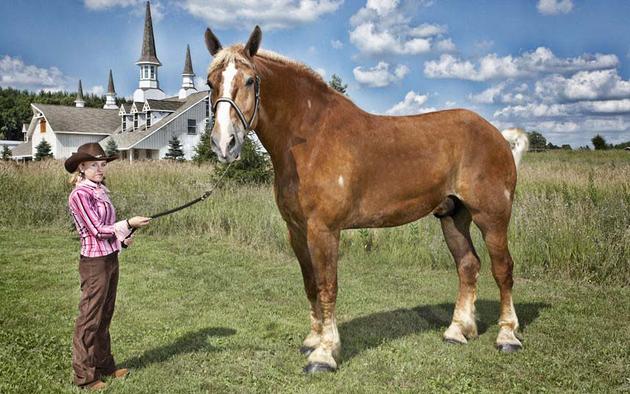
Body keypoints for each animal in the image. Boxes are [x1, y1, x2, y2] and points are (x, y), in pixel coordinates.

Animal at [205, 25, 532, 372]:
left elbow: (327, 286)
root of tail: (498, 135)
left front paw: (324, 354)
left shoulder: (324, 230)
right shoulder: (296, 231)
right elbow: (310, 284)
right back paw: (457, 331)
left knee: (503, 269)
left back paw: (507, 336)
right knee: (468, 265)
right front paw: (312, 341)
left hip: (492, 217)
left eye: (250, 80)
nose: (224, 144)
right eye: (210, 82)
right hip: (453, 217)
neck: (312, 138)